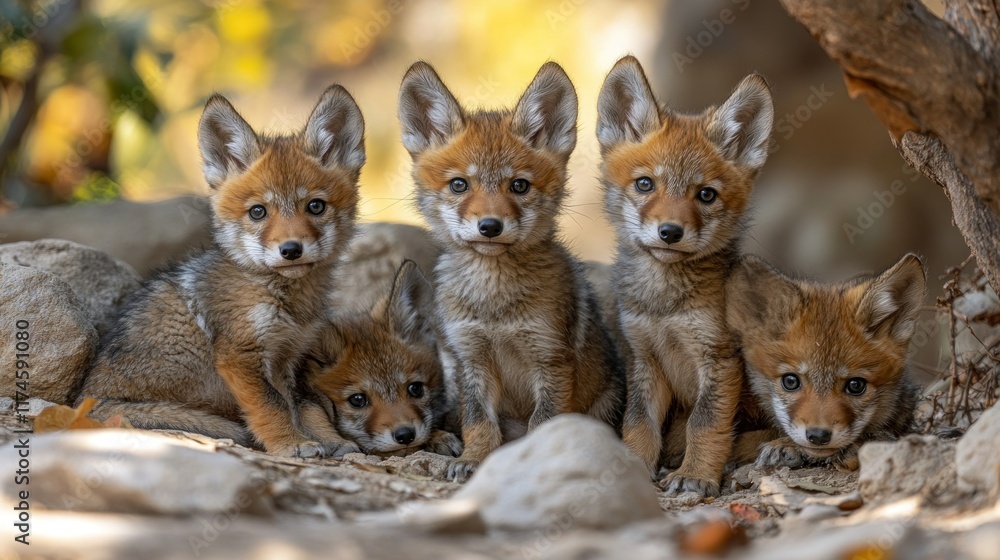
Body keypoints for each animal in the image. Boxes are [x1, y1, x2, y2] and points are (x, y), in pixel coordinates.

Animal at [77, 85, 367, 458]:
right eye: (258, 212)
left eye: (315, 206)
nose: (290, 250)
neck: (283, 299)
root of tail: (83, 400)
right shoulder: (239, 355)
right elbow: (273, 405)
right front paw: (290, 444)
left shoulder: (289, 356)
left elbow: (305, 406)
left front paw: (331, 441)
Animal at [398, 61, 626, 482]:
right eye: (459, 185)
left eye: (519, 186)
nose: (490, 226)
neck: (496, 308)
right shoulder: (471, 358)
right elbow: (479, 424)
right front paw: (473, 460)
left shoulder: (550, 359)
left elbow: (542, 426)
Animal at [597, 55, 774, 496]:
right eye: (645, 184)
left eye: (705, 195)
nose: (670, 232)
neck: (664, 306)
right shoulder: (644, 357)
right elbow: (638, 424)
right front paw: (633, 467)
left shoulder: (720, 359)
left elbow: (704, 424)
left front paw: (696, 475)